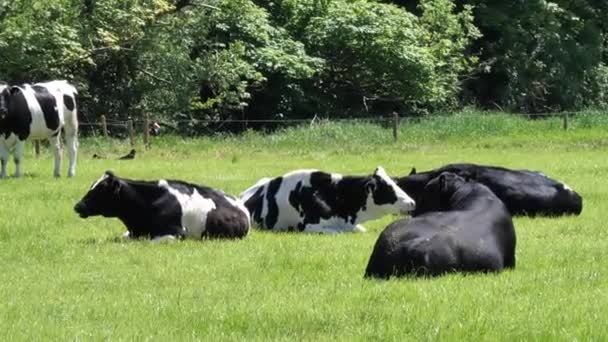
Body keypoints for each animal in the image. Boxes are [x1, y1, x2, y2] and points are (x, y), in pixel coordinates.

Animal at [240, 167, 416, 234]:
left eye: (395, 183)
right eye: (388, 187)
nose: (412, 202)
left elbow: (360, 230)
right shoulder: (308, 226)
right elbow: (337, 232)